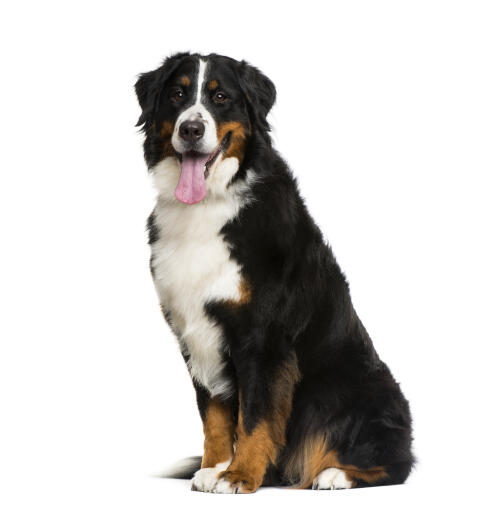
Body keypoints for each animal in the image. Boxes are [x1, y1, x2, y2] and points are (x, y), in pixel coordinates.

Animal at [134, 51, 412, 492]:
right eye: (178, 94)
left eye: (221, 97)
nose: (192, 129)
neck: (209, 207)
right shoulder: (194, 334)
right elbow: (214, 415)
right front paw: (214, 467)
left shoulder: (263, 337)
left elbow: (256, 415)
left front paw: (239, 475)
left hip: (358, 387)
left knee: (395, 463)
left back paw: (335, 474)